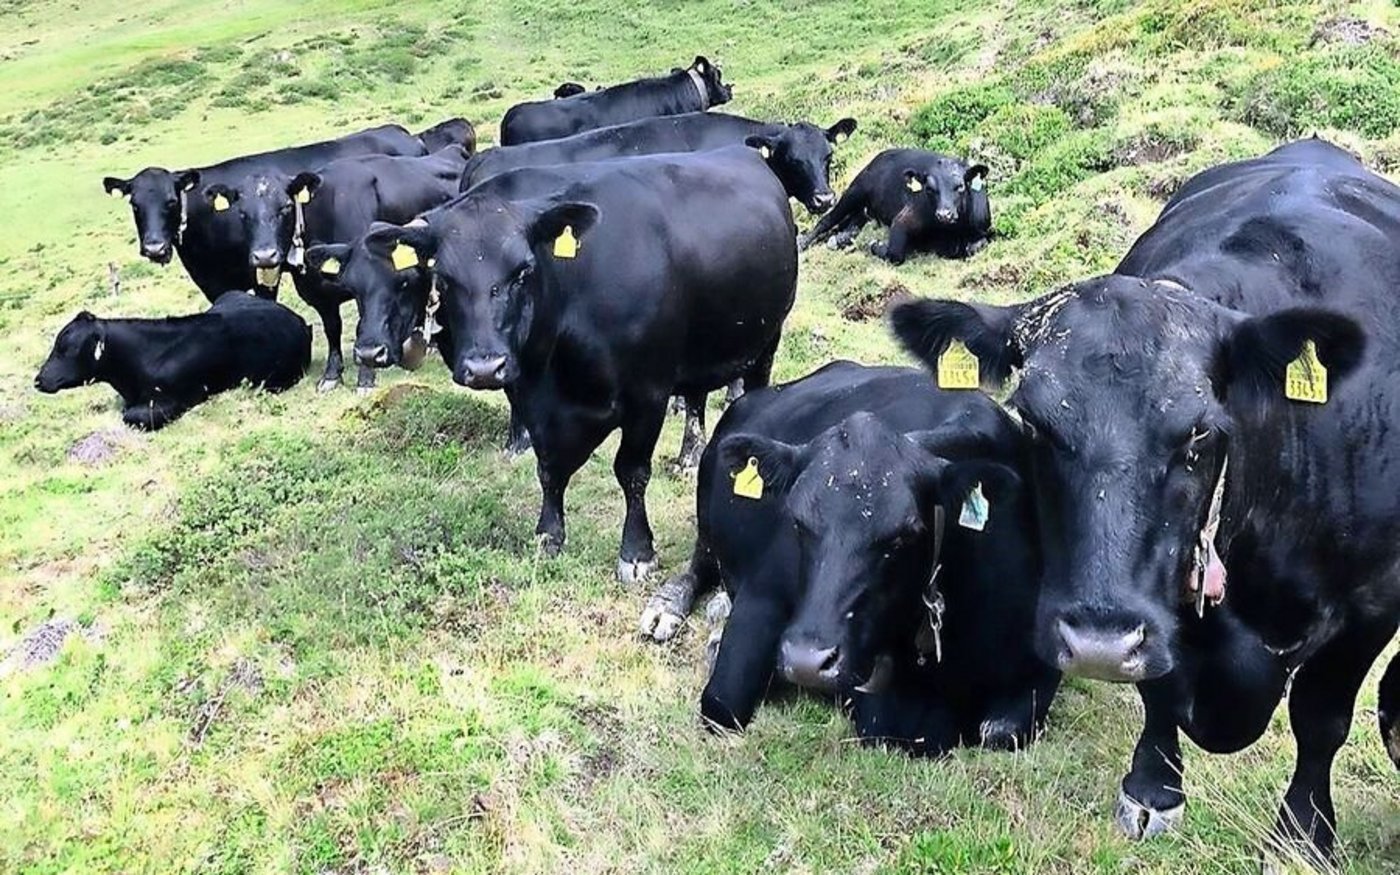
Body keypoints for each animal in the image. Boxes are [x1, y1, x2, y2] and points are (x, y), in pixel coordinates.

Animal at [200, 145, 471, 392]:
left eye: (285, 206)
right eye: (242, 213)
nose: (264, 256)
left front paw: (365, 379)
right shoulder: (319, 294)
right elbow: (332, 329)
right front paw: (332, 375)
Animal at [336, 147, 798, 581]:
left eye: (523, 271)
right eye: (444, 279)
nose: (485, 367)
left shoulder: (647, 393)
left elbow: (632, 471)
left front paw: (636, 552)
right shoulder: (531, 397)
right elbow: (549, 470)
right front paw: (549, 535)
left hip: (766, 341)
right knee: (696, 397)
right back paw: (688, 456)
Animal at [638, 361, 1059, 751]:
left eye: (905, 535)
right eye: (797, 522)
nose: (807, 660)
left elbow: (999, 730)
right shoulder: (763, 595)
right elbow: (723, 704)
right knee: (700, 563)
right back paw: (669, 607)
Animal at [801, 149, 991, 264]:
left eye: (960, 186)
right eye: (929, 188)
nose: (944, 214)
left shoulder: (983, 230)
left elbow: (975, 246)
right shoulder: (902, 220)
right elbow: (894, 253)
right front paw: (876, 244)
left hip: (865, 207)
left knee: (854, 223)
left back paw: (840, 238)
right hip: (856, 189)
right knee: (827, 220)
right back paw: (802, 242)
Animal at [891, 138, 1400, 867]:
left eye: (1199, 432)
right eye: (1034, 422)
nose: (1098, 641)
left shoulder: (1373, 602)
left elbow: (1322, 717)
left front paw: (1303, 832)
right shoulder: (1156, 599)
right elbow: (1159, 688)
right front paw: (1153, 788)